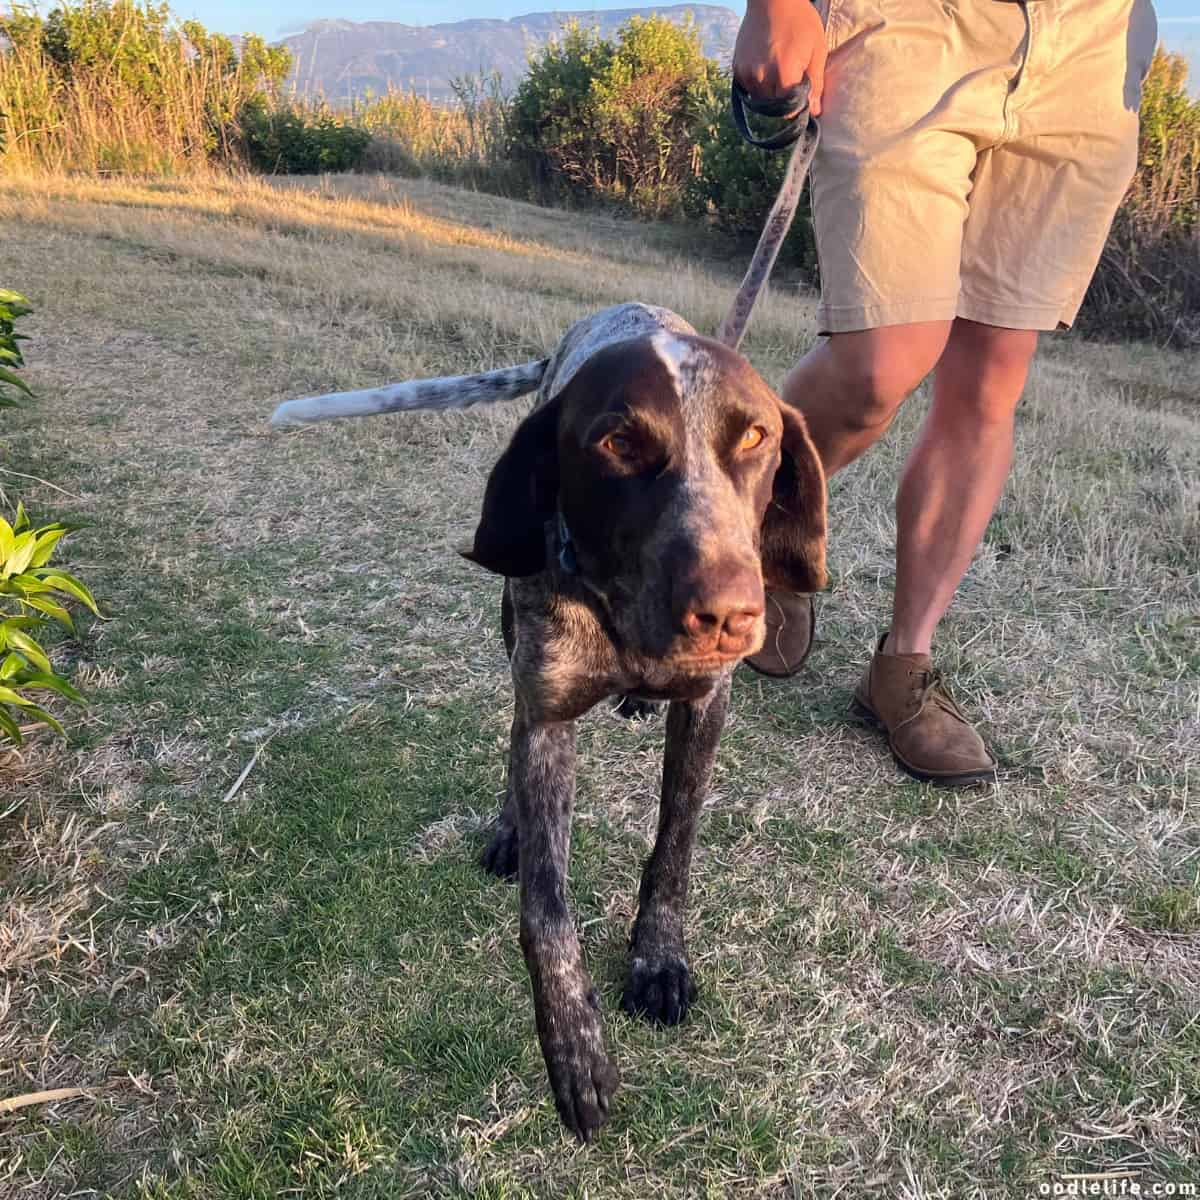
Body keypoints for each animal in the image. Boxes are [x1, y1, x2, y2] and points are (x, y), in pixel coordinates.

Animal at [271, 302, 825, 1142]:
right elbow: (546, 910)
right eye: (617, 443)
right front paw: (573, 1047)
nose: (731, 614)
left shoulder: (706, 708)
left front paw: (658, 956)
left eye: (756, 437)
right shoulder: (550, 714)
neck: (621, 613)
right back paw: (509, 827)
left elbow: (673, 849)